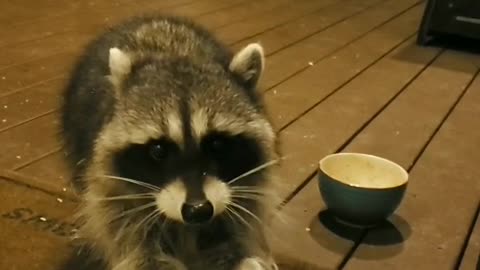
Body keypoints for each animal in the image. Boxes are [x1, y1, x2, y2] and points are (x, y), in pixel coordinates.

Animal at [61, 14, 282, 270]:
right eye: (158, 150)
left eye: (217, 144)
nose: (198, 210)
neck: (176, 55)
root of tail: (150, 19)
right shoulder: (111, 187)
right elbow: (129, 236)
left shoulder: (249, 183)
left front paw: (239, 256)